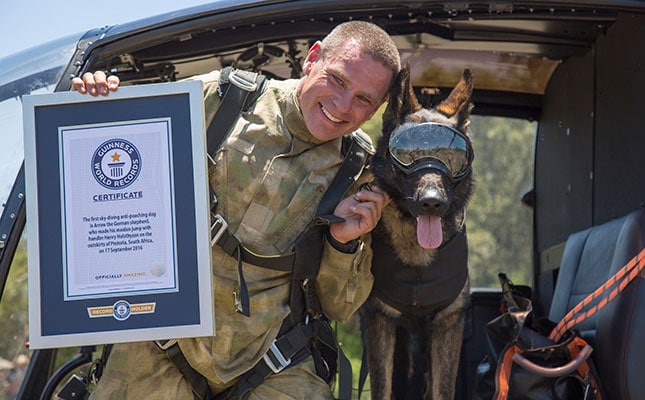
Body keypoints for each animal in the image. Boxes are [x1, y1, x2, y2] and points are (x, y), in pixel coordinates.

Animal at [360, 66, 476, 400]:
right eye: (406, 155)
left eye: (453, 157)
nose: (432, 203)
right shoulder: (381, 322)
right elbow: (382, 389)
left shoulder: (448, 325)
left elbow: (442, 390)